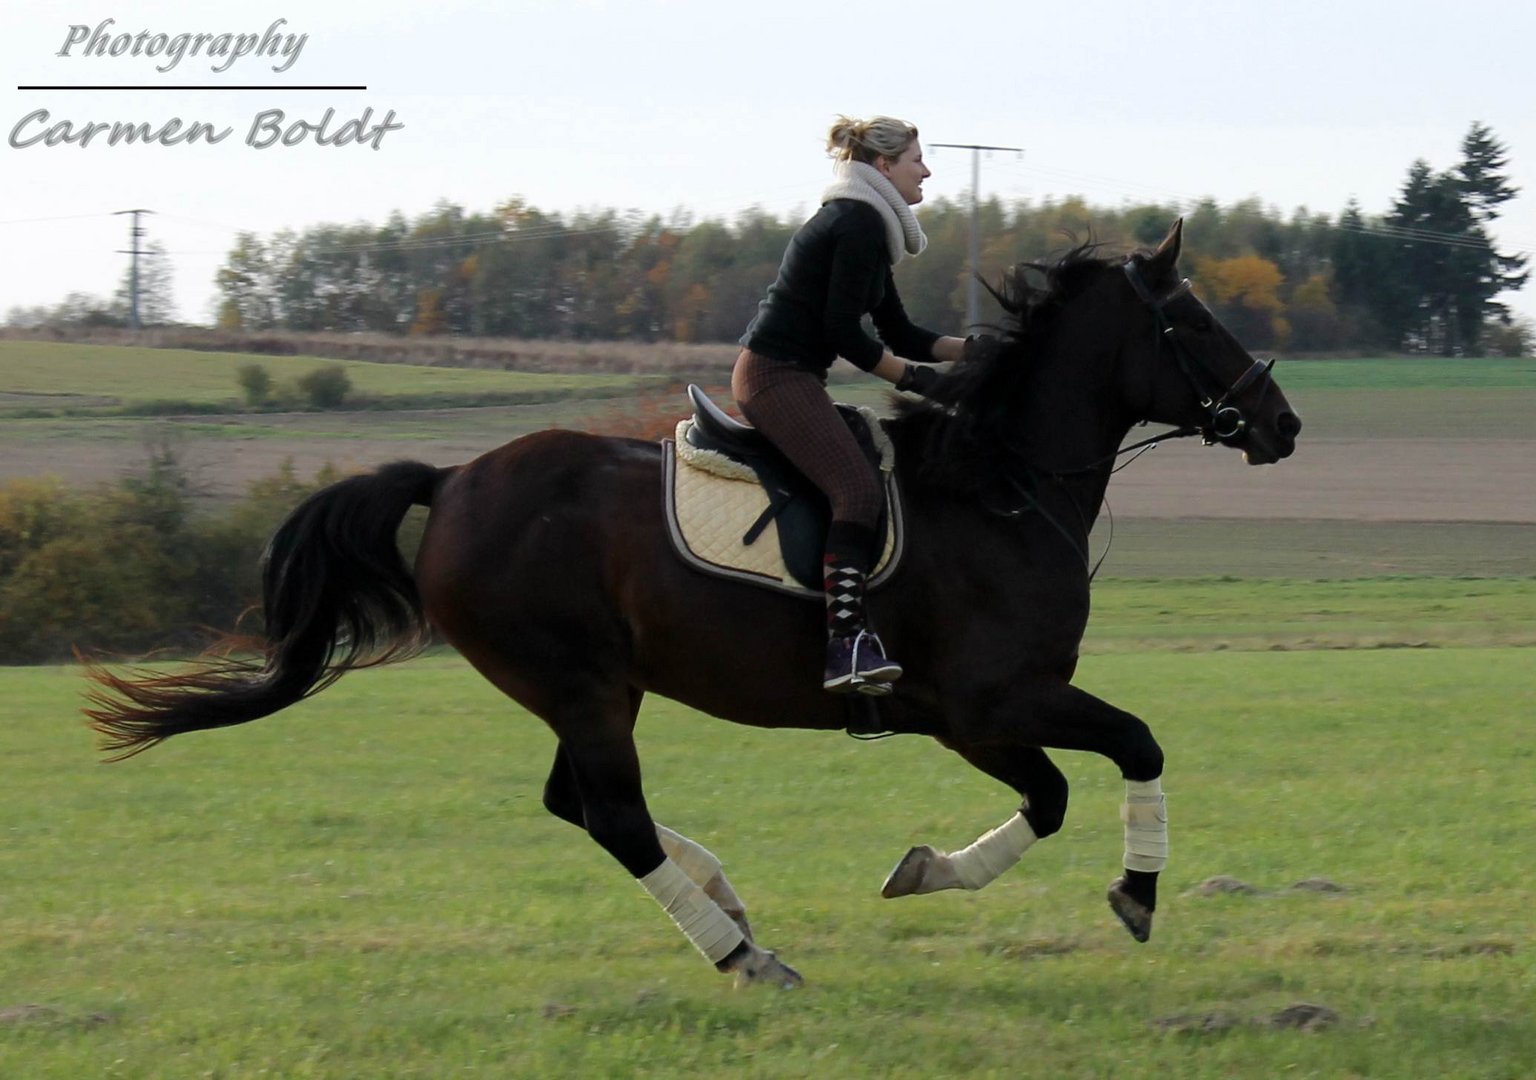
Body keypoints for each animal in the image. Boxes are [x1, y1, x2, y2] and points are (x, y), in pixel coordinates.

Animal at [87, 218, 1296, 989]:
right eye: (1194, 323)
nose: (1282, 423)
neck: (1002, 484)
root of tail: (452, 478)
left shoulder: (980, 716)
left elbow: (1061, 790)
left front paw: (927, 872)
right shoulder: (989, 705)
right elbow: (1117, 756)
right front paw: (1132, 896)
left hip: (589, 687)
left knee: (577, 805)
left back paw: (727, 902)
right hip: (579, 682)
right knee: (612, 816)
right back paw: (743, 954)